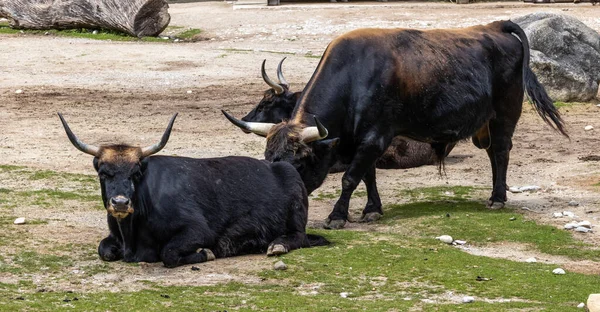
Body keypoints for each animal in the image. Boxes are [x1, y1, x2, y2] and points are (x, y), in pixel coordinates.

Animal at [57, 113, 328, 266]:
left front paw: (205, 254)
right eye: (103, 173)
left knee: (298, 236)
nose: (121, 203)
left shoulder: (197, 230)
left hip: (295, 217)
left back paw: (277, 245)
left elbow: (168, 253)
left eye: (135, 173)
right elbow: (103, 249)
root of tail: (279, 166)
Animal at [224, 20, 568, 229]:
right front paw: (371, 209)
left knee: (501, 152)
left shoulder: (375, 137)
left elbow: (350, 179)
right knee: (493, 154)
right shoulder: (359, 142)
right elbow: (368, 177)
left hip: (505, 115)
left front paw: (337, 216)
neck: (355, 77)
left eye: (298, 161)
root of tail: (495, 26)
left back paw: (498, 198)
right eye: (269, 158)